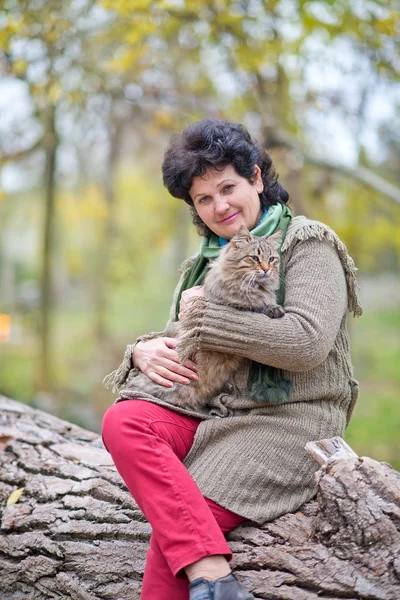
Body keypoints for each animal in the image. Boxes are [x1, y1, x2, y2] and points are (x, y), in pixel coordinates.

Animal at [130, 226, 282, 412]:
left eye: (272, 259)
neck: (254, 287)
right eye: (254, 258)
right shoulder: (231, 305)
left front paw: (274, 308)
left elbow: (266, 304)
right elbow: (254, 306)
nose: (267, 269)